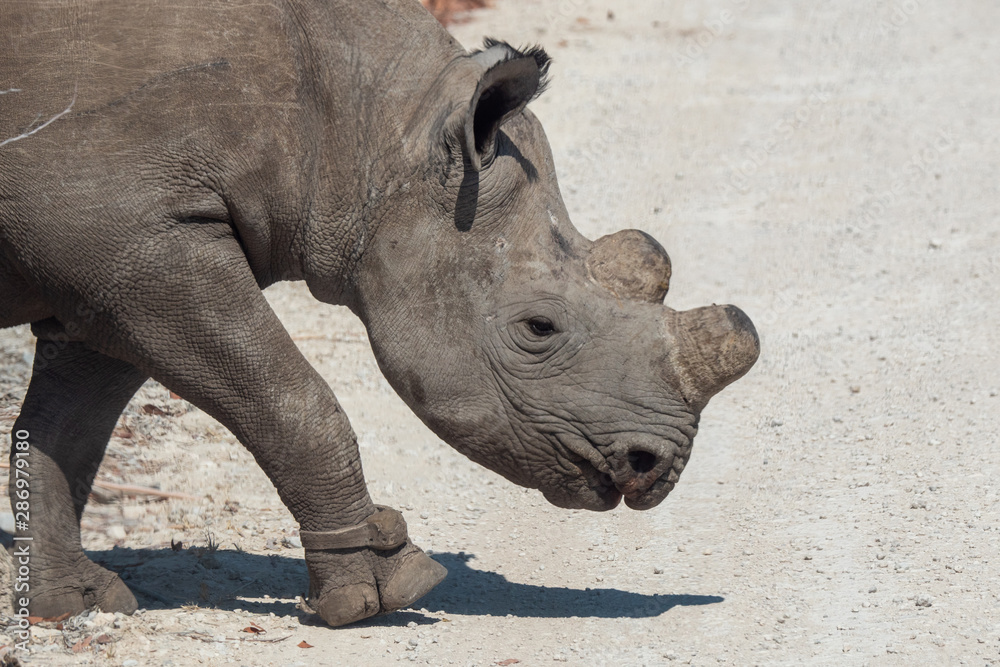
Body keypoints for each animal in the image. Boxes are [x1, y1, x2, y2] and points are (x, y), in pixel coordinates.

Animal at [0, 0, 758, 627]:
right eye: (537, 329)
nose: (657, 467)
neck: (369, 129)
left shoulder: (108, 264)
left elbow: (66, 431)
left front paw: (73, 604)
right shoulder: (140, 246)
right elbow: (295, 401)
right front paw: (382, 590)